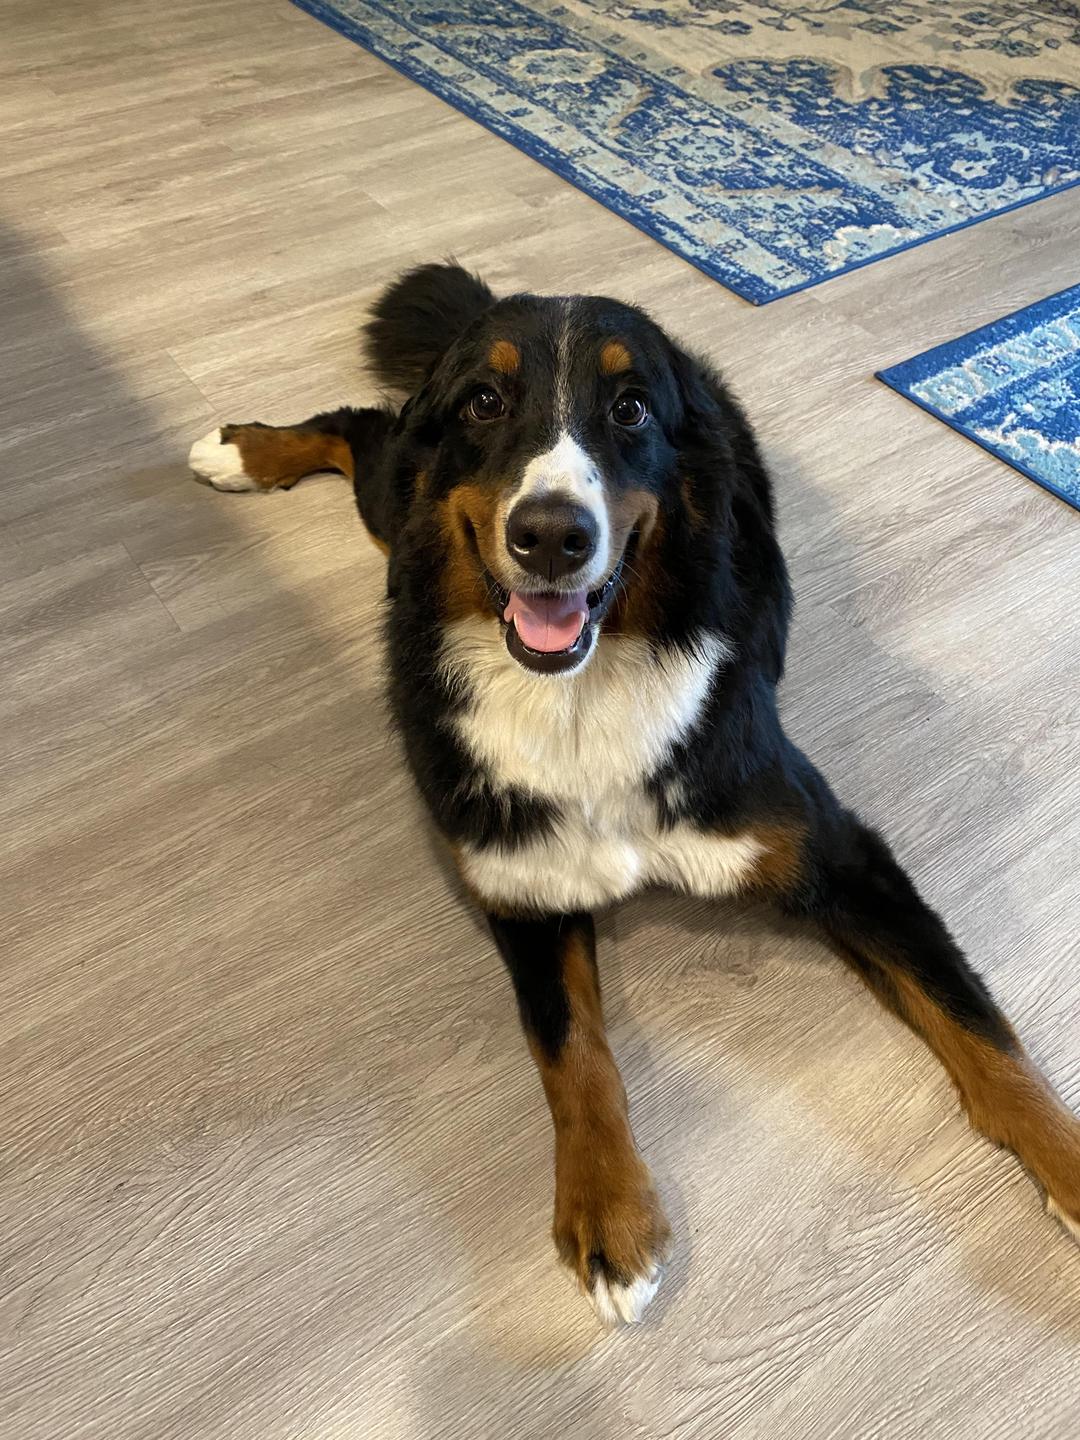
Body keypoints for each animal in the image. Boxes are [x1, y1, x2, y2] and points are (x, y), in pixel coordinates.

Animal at [188, 262, 1080, 1324]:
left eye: (632, 408)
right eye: (484, 403)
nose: (551, 536)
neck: (580, 693)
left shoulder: (837, 851)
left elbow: (983, 1032)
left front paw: (1070, 1165)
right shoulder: (522, 886)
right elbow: (572, 1053)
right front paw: (609, 1213)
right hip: (392, 501)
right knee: (360, 426)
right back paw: (244, 451)